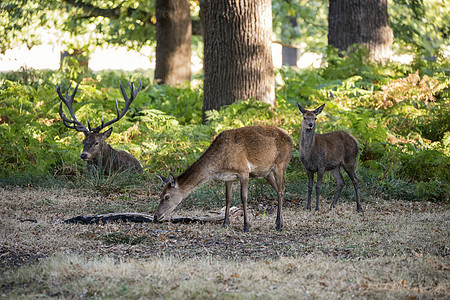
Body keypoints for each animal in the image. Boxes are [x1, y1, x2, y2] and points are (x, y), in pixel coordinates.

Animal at [155, 125, 296, 232]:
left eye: (166, 196)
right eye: (160, 195)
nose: (156, 217)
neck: (221, 163)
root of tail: (291, 138)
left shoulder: (244, 171)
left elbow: (243, 197)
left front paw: (246, 226)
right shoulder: (228, 177)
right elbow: (228, 198)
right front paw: (225, 223)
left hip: (281, 164)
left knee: (280, 190)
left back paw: (278, 225)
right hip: (267, 172)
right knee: (281, 189)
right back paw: (280, 222)